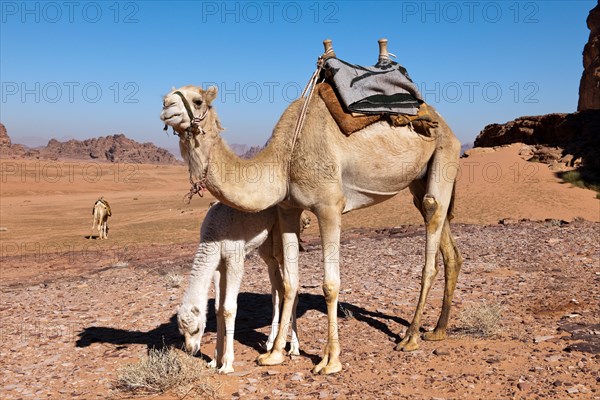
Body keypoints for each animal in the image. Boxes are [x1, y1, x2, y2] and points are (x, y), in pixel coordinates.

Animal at [162, 61, 462, 376]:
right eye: (167, 97)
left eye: (197, 100)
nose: (166, 106)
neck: (284, 158)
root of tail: (444, 123)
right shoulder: (288, 209)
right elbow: (289, 282)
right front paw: (274, 354)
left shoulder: (329, 206)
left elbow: (330, 285)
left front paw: (330, 361)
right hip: (419, 177)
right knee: (444, 237)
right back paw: (438, 330)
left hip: (444, 152)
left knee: (432, 220)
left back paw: (411, 336)